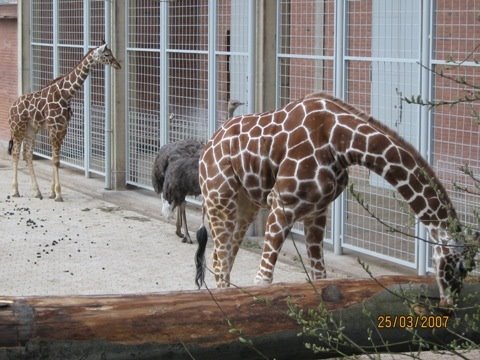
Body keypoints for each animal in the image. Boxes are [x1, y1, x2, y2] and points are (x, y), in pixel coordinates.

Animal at [7, 42, 121, 202]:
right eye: (106, 54)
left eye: (111, 53)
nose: (118, 65)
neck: (66, 94)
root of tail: (11, 108)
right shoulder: (55, 128)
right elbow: (55, 161)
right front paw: (58, 194)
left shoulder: (63, 128)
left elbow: (56, 159)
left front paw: (52, 192)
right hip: (18, 129)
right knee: (16, 153)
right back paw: (15, 190)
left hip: (31, 129)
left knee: (28, 154)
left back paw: (37, 192)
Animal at [196, 91, 480, 306]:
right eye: (460, 267)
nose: (449, 305)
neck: (340, 143)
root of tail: (207, 147)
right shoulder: (282, 204)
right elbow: (263, 280)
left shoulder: (317, 211)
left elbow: (320, 279)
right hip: (219, 199)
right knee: (220, 263)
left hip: (246, 205)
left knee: (224, 260)